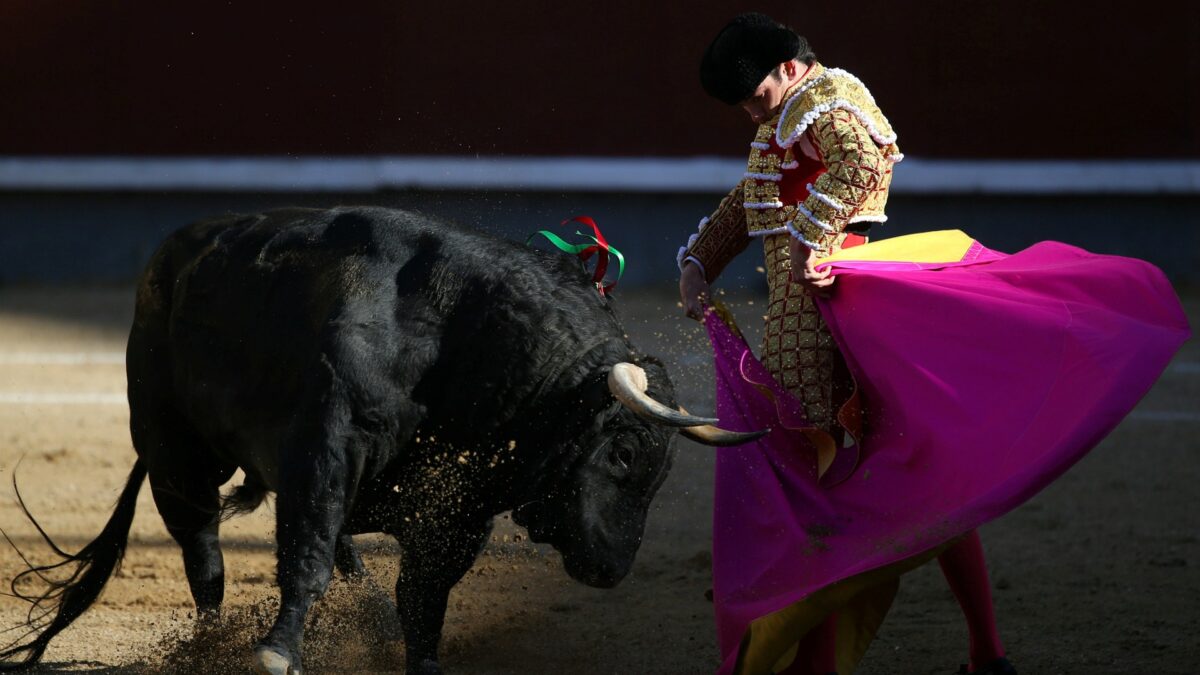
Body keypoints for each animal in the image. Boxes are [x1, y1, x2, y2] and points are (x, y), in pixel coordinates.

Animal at [2, 207, 758, 667]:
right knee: (204, 554)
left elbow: (423, 590)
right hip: (174, 452)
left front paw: (417, 656)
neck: (458, 335)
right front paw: (278, 651)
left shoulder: (458, 504)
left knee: (334, 556)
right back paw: (207, 646)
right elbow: (304, 554)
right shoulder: (324, 453)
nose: (610, 568)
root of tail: (170, 253)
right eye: (624, 452)